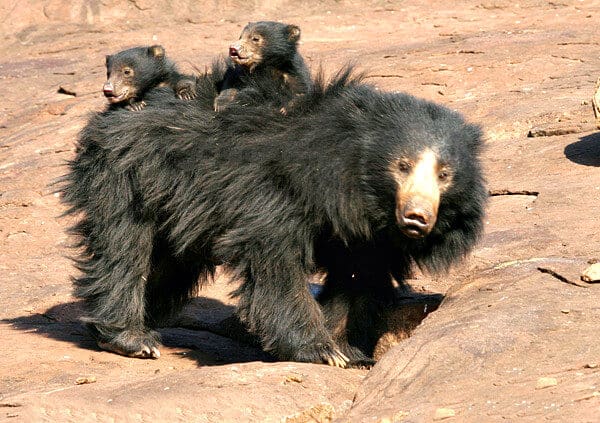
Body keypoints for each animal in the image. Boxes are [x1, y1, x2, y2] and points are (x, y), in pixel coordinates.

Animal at [61, 66, 488, 368]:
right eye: (402, 165)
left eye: (445, 174)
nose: (417, 217)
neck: (358, 194)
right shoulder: (276, 191)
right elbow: (275, 260)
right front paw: (322, 351)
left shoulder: (366, 235)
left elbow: (357, 280)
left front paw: (349, 350)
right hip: (128, 176)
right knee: (124, 249)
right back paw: (132, 338)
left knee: (169, 265)